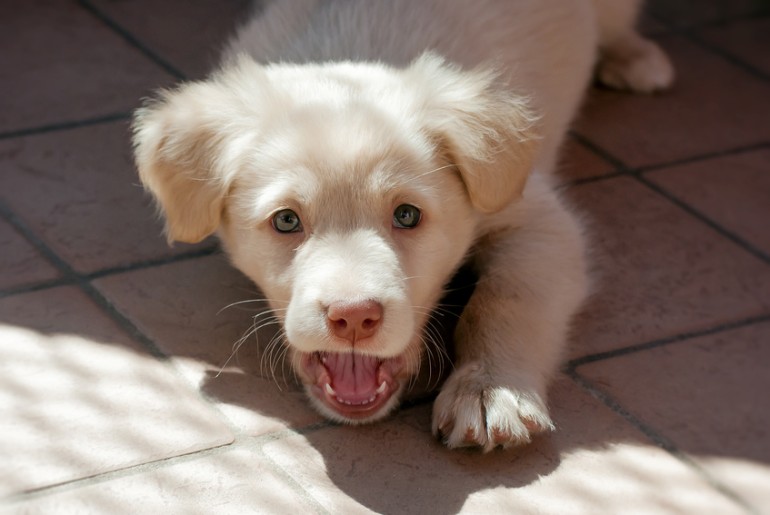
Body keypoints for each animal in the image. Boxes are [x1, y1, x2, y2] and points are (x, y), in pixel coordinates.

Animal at [134, 0, 672, 452]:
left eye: (407, 215)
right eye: (286, 220)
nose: (354, 318)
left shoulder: (538, 218)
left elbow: (506, 300)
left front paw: (491, 390)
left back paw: (634, 57)